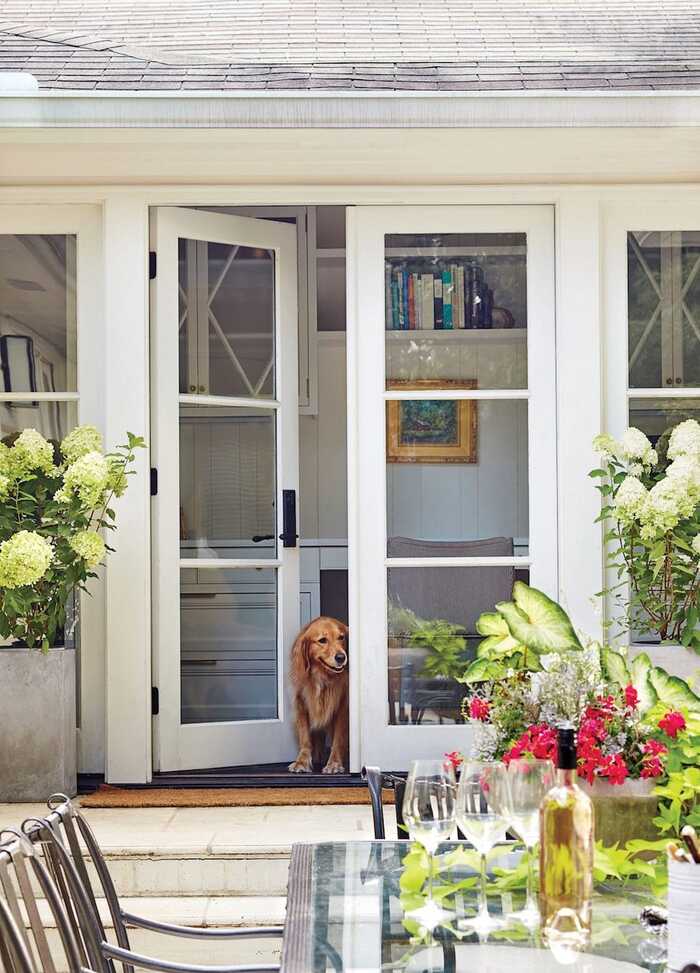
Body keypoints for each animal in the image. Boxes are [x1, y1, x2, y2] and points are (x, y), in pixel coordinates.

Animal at [288, 620, 348, 772]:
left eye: (341, 637)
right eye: (322, 640)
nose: (341, 657)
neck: (322, 677)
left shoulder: (342, 706)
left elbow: (338, 738)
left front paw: (334, 763)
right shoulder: (301, 702)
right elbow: (304, 736)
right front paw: (302, 761)